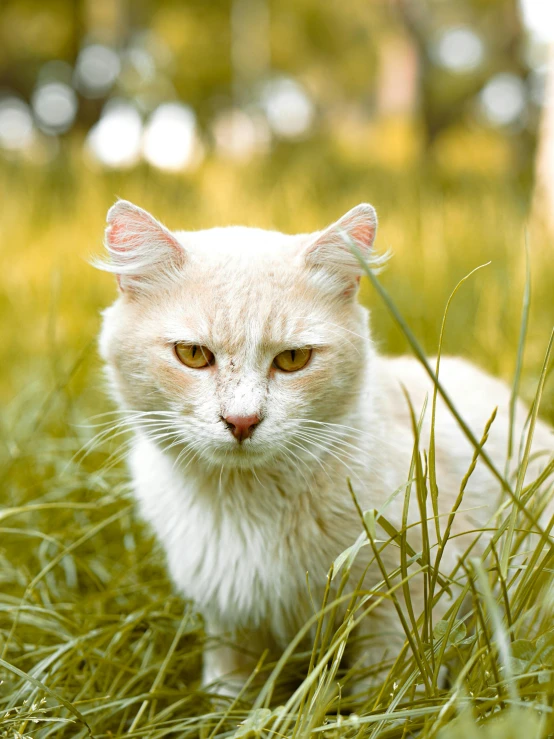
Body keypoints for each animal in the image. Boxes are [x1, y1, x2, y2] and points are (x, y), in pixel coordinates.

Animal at [97, 198, 548, 692]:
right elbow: (228, 691)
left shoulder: (401, 608)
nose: (241, 421)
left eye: (293, 359)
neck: (246, 505)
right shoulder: (229, 621)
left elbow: (386, 693)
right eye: (193, 354)